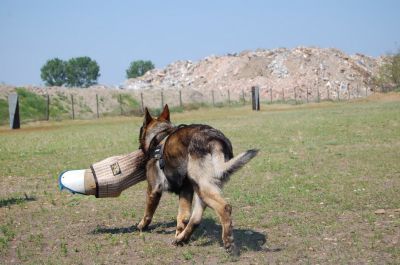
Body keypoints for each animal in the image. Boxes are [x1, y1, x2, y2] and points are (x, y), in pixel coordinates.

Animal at [137, 103, 256, 254]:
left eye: (141, 128)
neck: (159, 136)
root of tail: (215, 139)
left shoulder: (153, 190)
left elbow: (148, 213)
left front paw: (142, 225)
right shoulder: (186, 190)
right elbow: (183, 216)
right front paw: (178, 234)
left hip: (201, 186)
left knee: (225, 207)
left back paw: (228, 241)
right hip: (202, 188)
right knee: (196, 218)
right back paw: (181, 239)